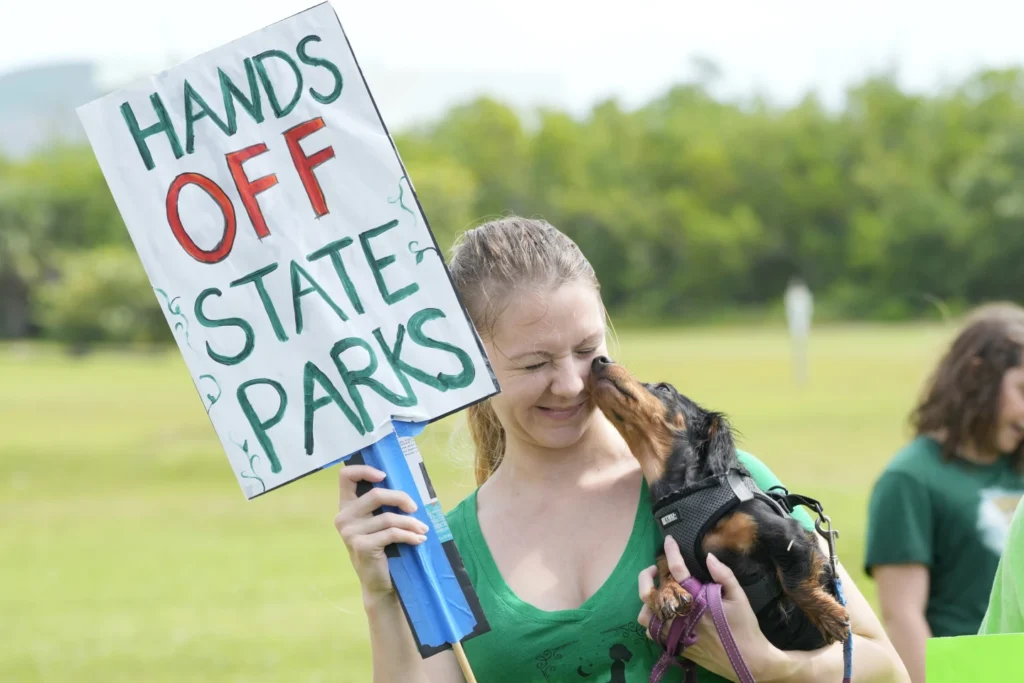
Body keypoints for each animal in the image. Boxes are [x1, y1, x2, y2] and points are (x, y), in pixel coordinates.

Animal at [593, 358, 847, 651]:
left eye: (665, 388)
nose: (599, 361)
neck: (686, 496)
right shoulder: (669, 553)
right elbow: (667, 574)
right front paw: (668, 594)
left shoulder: (786, 534)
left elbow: (795, 583)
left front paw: (829, 617)